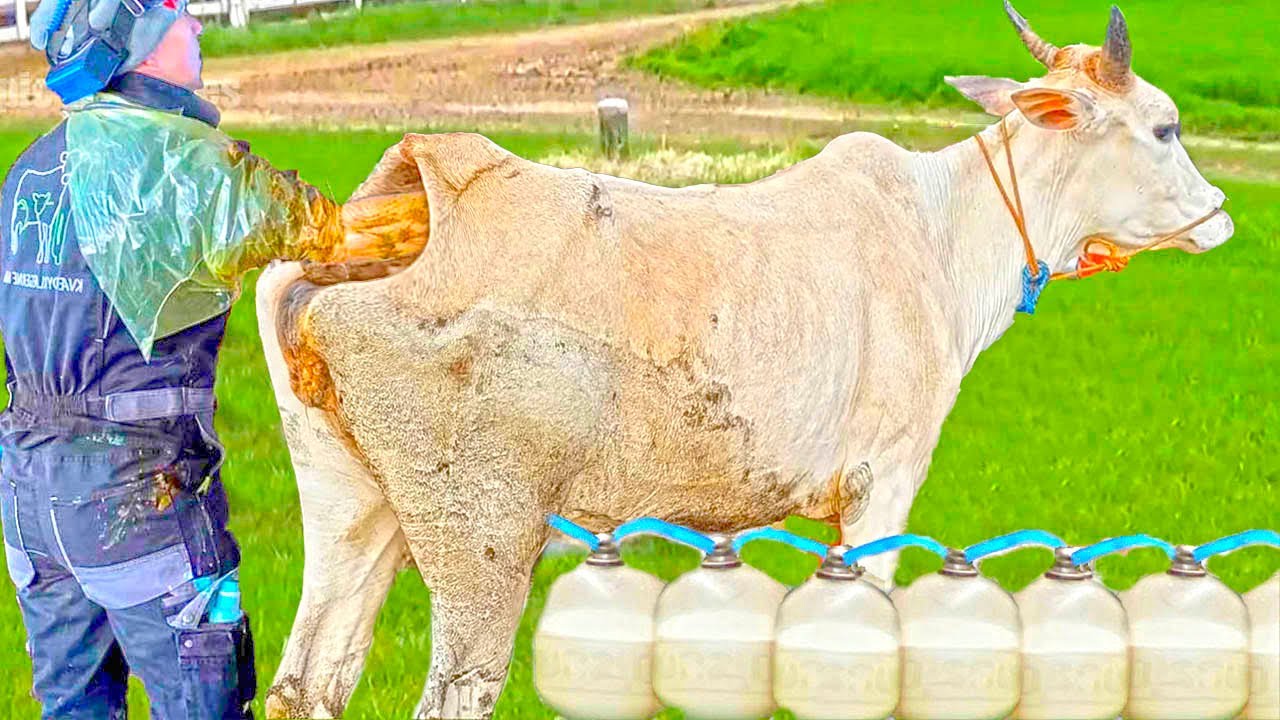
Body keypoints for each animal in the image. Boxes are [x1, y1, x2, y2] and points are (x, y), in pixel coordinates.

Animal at [254, 3, 1232, 717]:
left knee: (306, 685)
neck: (943, 229)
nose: (1220, 213)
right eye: (1165, 128)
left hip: (351, 506)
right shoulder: (883, 483)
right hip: (483, 537)